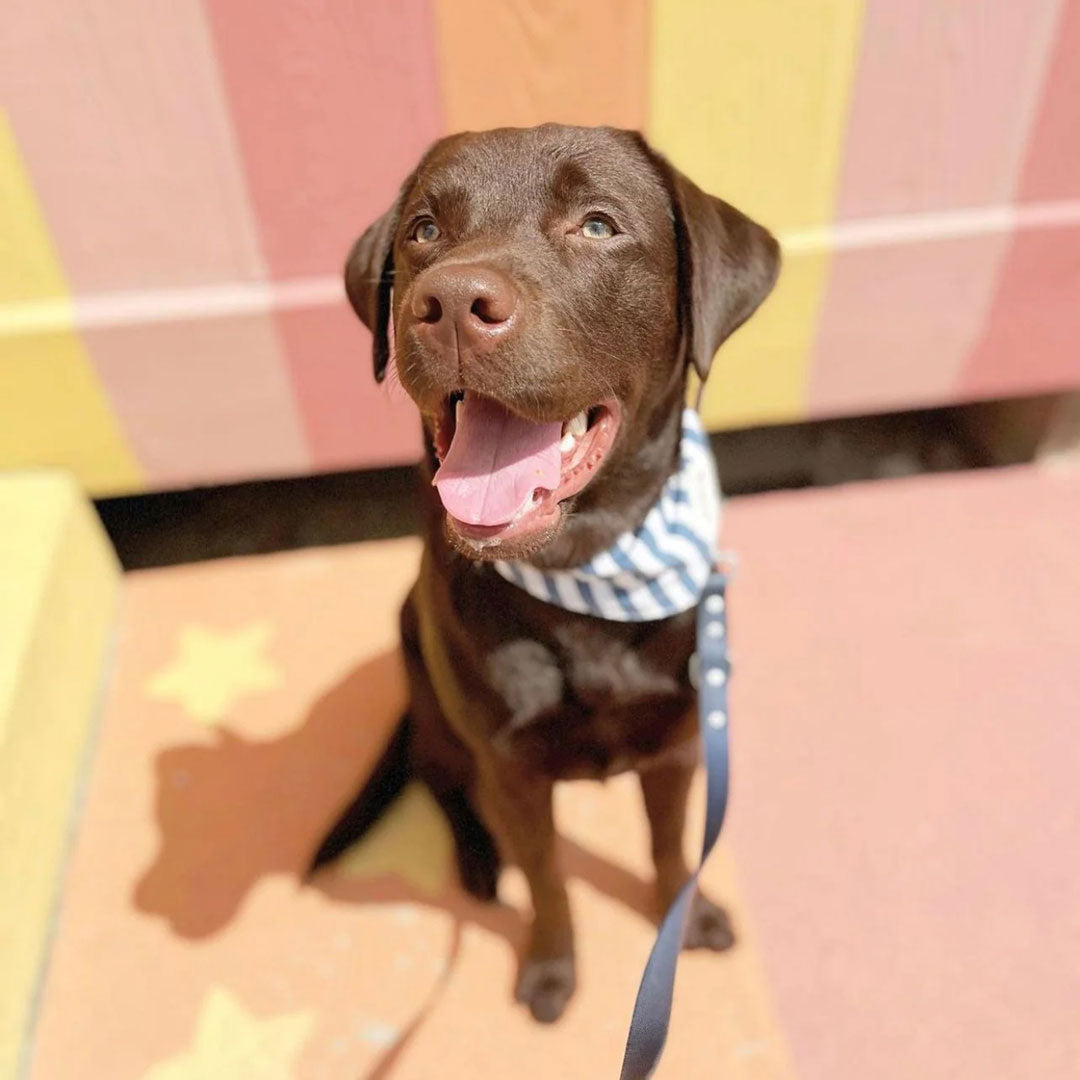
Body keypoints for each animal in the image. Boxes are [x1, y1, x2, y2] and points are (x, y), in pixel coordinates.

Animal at [313, 124, 777, 1019]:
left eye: (597, 224)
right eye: (424, 230)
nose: (453, 302)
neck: (586, 575)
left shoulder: (678, 746)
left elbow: (671, 850)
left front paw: (688, 916)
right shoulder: (513, 769)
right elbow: (550, 878)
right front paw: (552, 968)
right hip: (430, 692)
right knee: (442, 779)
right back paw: (477, 864)